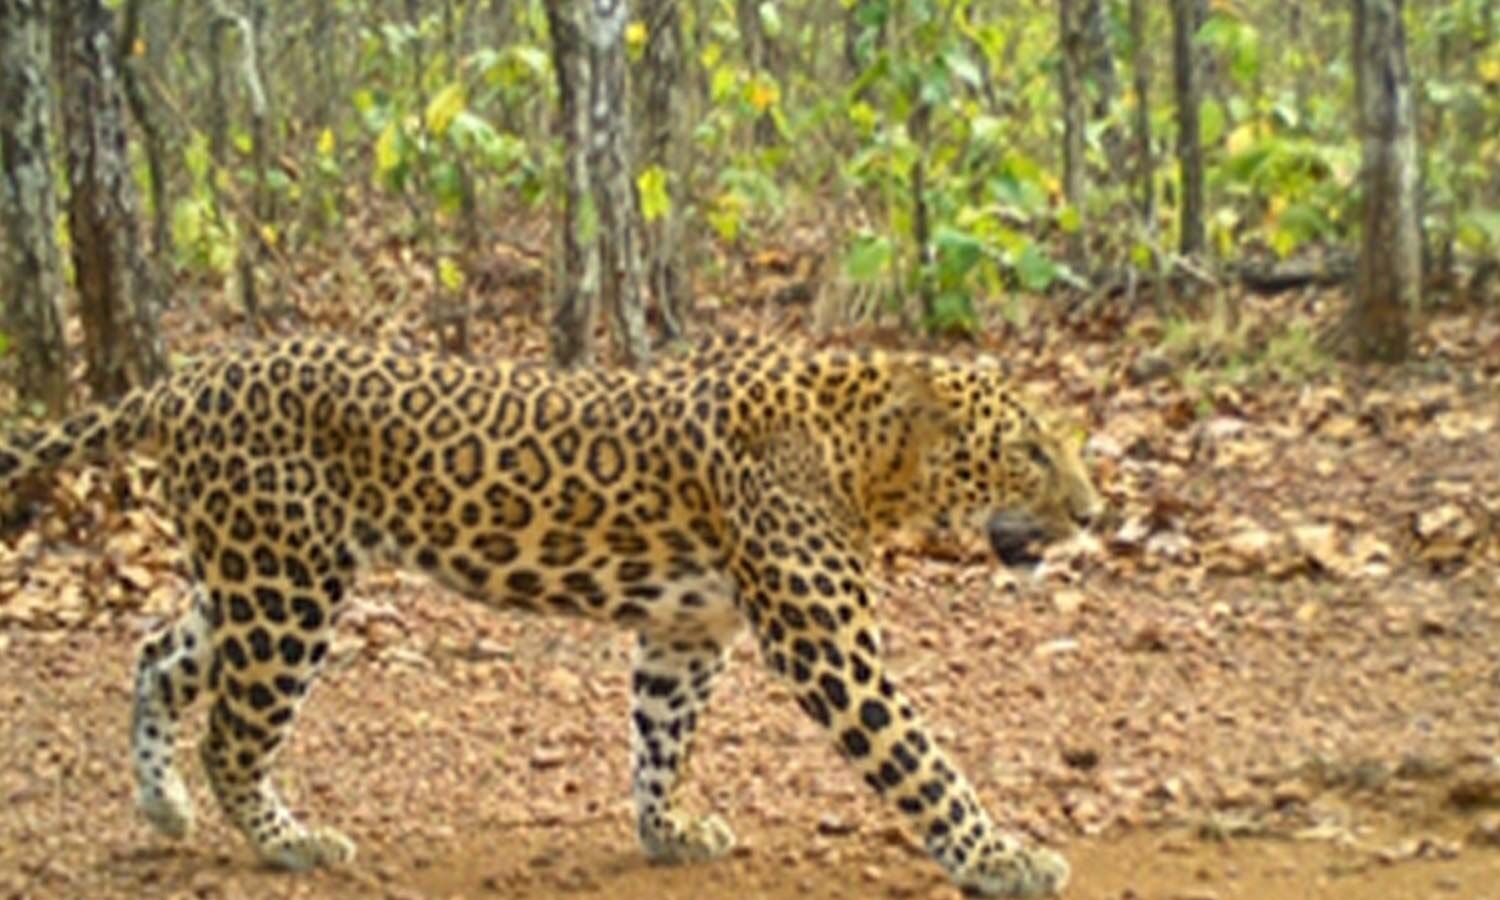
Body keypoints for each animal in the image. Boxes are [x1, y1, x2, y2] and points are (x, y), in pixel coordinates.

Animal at [0, 332, 1101, 897]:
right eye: (1030, 450)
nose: (1094, 513)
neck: (870, 460)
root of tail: (187, 378)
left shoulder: (687, 630)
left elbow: (659, 738)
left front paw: (667, 832)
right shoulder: (827, 645)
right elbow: (922, 763)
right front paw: (1001, 858)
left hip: (251, 578)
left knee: (158, 652)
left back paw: (163, 805)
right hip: (285, 591)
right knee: (232, 732)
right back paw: (290, 844)